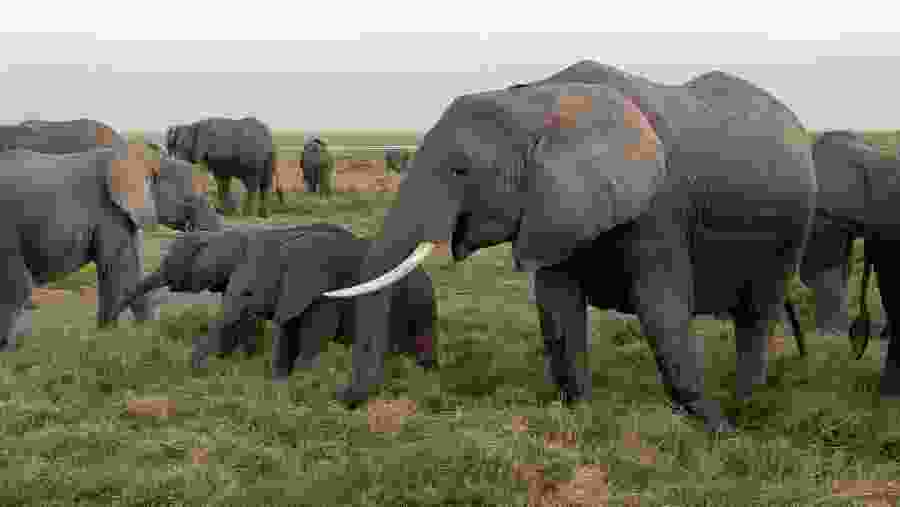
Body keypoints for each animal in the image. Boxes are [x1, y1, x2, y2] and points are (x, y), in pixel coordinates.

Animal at [0, 140, 224, 350]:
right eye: (190, 199)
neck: (147, 160)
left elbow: (132, 271)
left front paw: (140, 335)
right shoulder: (110, 212)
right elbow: (118, 268)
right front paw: (109, 338)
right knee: (17, 288)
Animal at [190, 225, 438, 380]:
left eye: (249, 293)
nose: (200, 372)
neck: (286, 249)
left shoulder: (323, 295)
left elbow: (314, 338)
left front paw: (301, 383)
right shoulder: (291, 298)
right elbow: (286, 337)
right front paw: (280, 384)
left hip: (420, 307)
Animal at [321, 60, 817, 433]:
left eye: (461, 170)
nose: (343, 399)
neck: (539, 102)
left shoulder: (659, 204)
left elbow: (660, 308)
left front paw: (715, 429)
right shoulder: (551, 207)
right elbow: (557, 306)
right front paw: (581, 415)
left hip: (792, 227)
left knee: (757, 314)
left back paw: (744, 404)